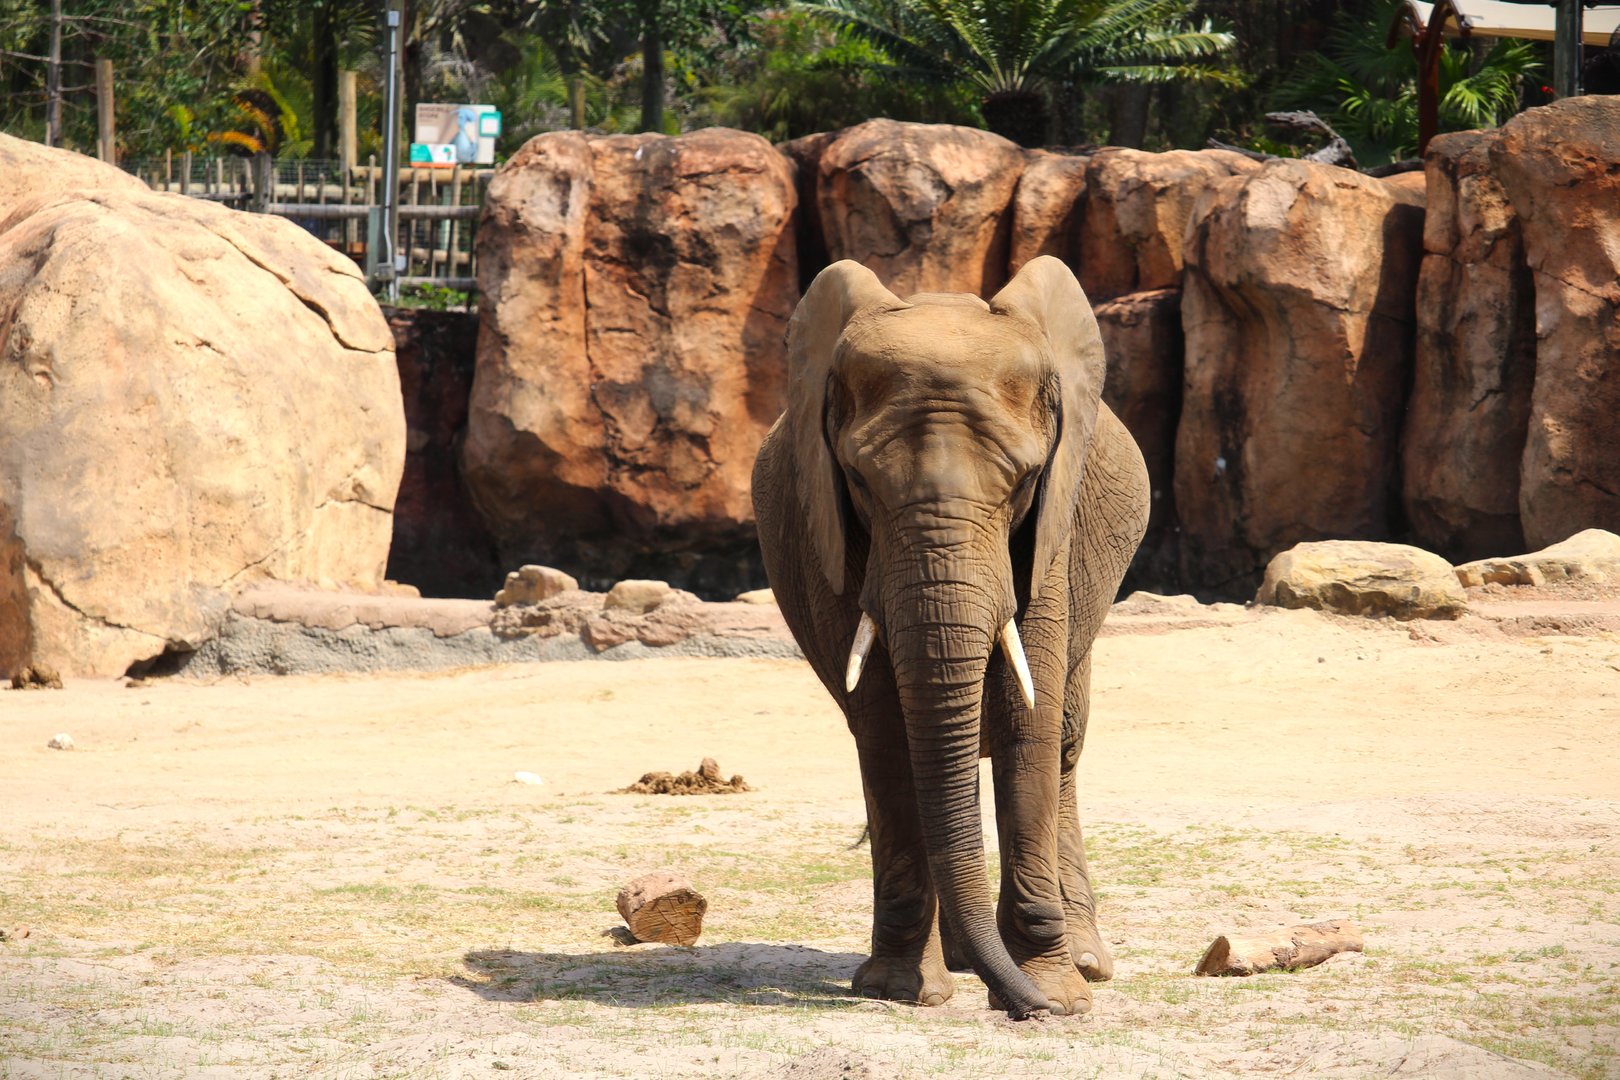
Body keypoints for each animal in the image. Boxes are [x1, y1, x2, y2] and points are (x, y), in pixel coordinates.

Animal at [751, 256, 1150, 1019]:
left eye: (1025, 479)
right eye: (858, 480)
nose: (1030, 1011)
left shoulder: (1053, 530)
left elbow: (1030, 721)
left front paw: (1060, 993)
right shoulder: (831, 537)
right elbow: (883, 722)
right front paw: (899, 992)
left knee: (1064, 741)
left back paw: (1081, 961)